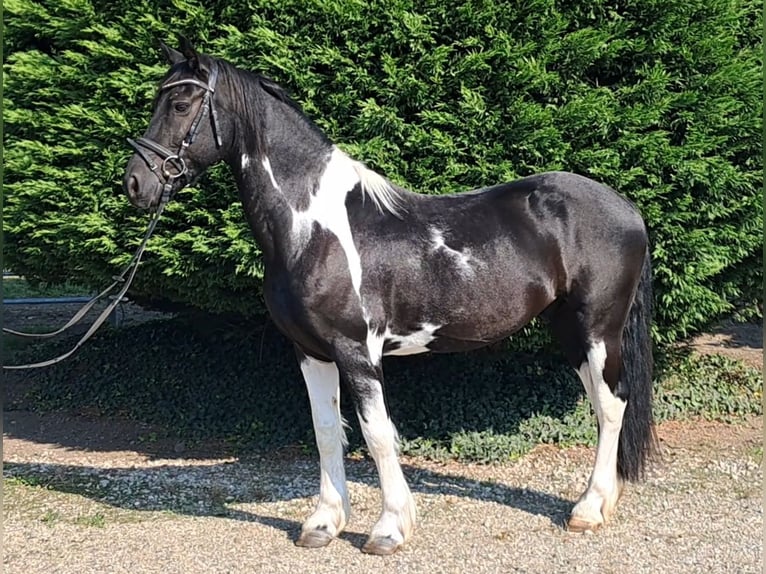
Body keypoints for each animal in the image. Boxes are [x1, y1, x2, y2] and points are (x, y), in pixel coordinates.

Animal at [123, 37, 656, 560]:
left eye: (180, 103)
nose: (135, 183)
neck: (314, 228)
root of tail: (626, 207)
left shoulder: (357, 352)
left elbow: (377, 435)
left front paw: (389, 530)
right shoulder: (310, 352)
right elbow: (325, 431)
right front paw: (323, 523)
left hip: (597, 329)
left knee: (611, 406)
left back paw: (587, 509)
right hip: (569, 330)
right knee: (602, 403)